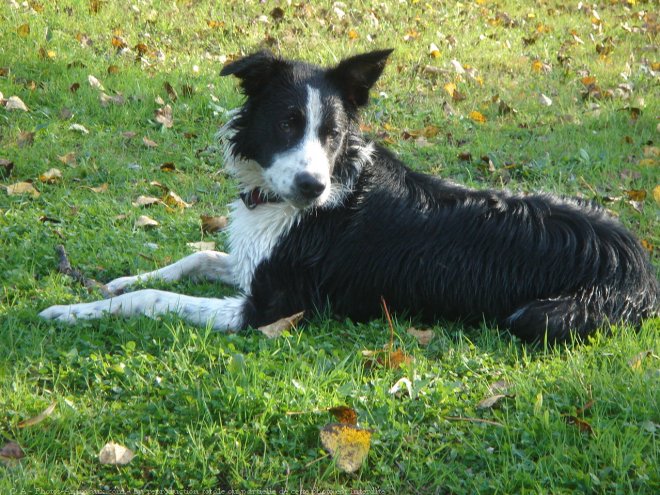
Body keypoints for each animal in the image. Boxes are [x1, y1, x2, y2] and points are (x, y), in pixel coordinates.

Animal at [40, 51, 656, 344]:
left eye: (332, 134)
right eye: (287, 124)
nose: (312, 188)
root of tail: (640, 263)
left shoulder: (270, 309)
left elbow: (151, 300)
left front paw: (72, 310)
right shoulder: (254, 264)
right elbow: (194, 258)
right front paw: (116, 279)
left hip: (537, 317)